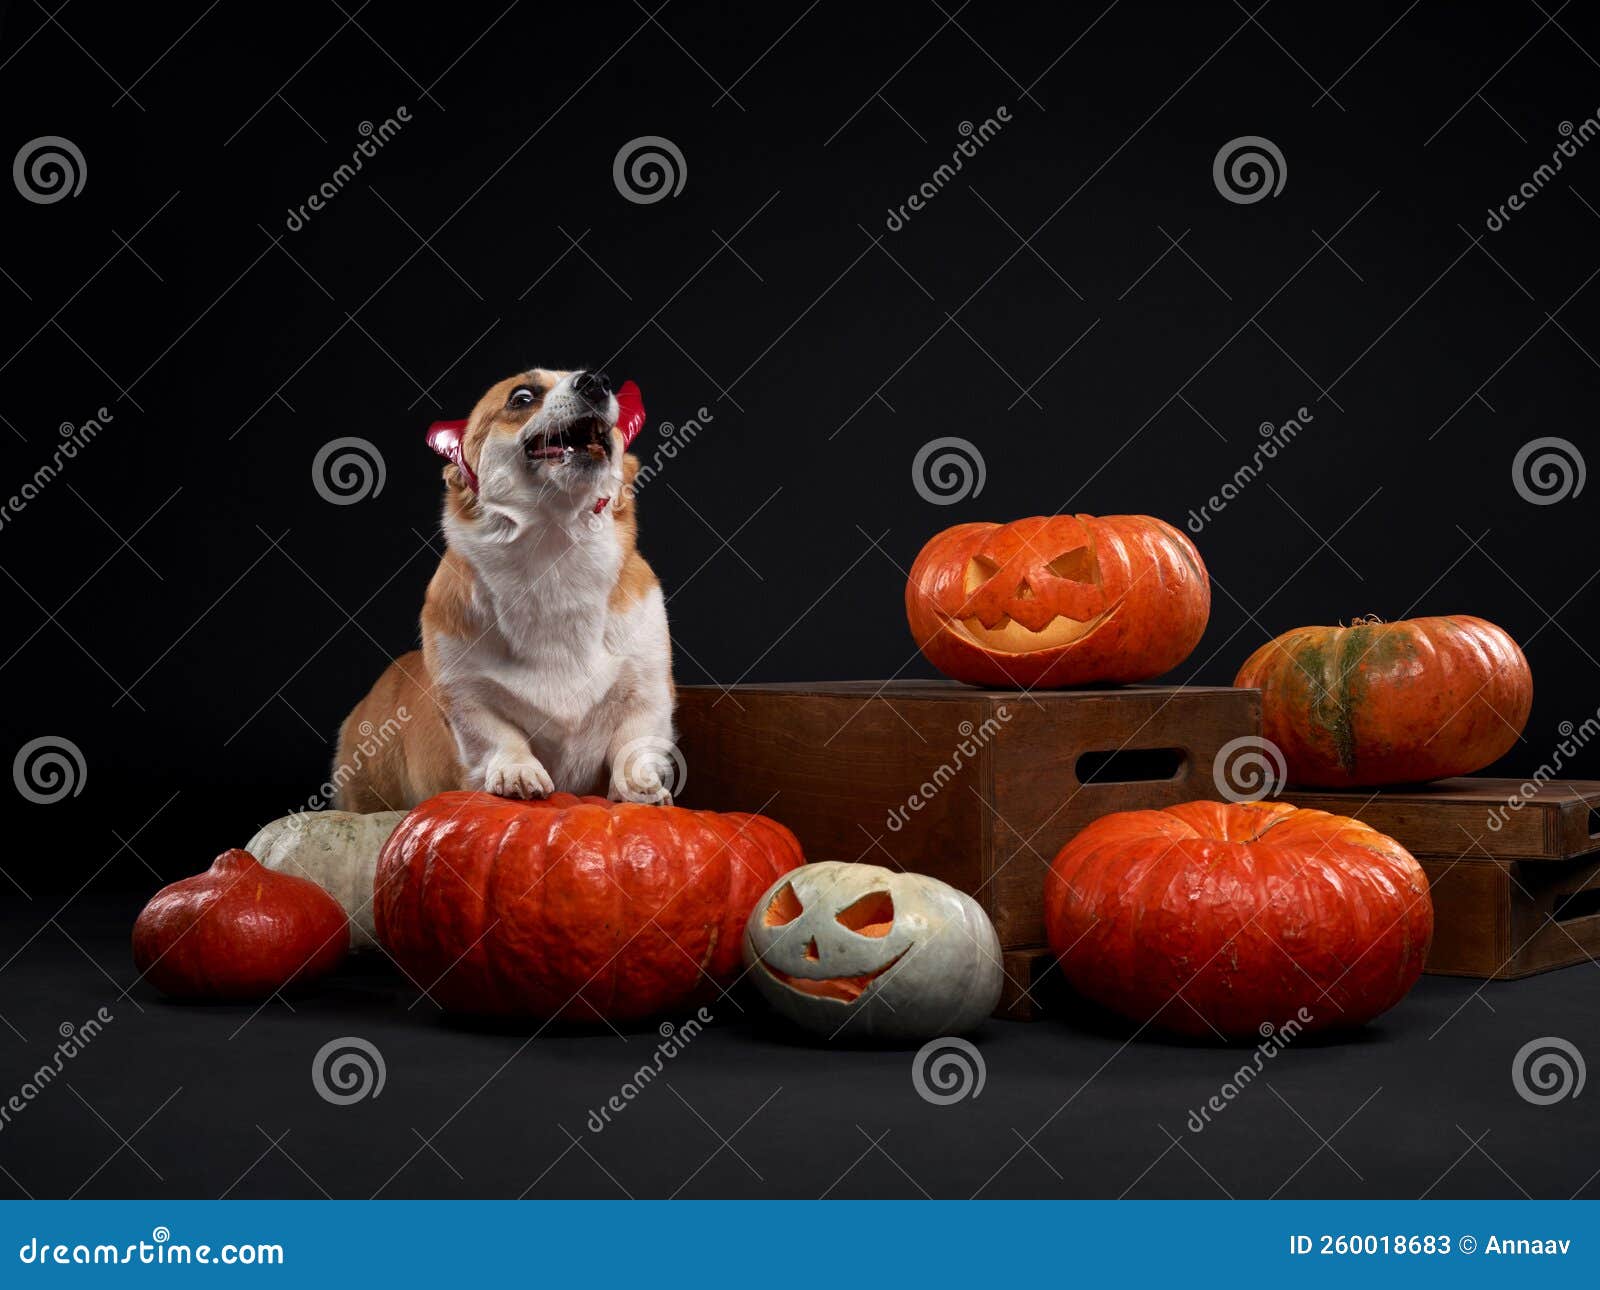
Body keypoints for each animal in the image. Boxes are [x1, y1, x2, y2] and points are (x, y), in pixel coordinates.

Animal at [337, 366, 675, 806]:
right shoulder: (466, 695)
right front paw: (517, 771)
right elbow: (499, 737)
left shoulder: (649, 689)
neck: (553, 555)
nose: (594, 382)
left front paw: (639, 788)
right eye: (522, 397)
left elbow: (634, 743)